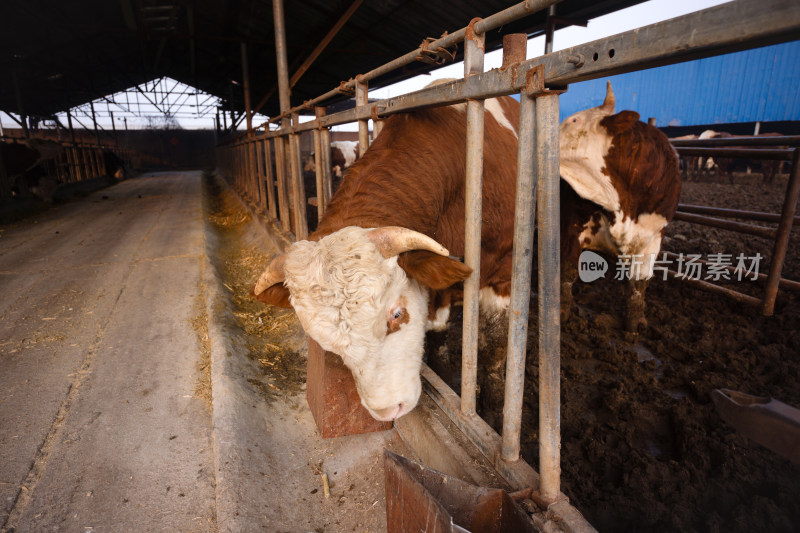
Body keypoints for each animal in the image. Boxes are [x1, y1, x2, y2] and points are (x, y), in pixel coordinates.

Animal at [253, 86, 520, 420]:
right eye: (327, 343)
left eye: (396, 314)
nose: (387, 411)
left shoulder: (503, 273)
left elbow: (495, 351)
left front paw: (495, 413)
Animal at [556, 82, 680, 330]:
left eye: (574, 120)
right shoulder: (571, 224)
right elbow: (568, 268)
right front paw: (562, 312)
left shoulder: (653, 236)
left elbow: (640, 281)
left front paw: (635, 322)